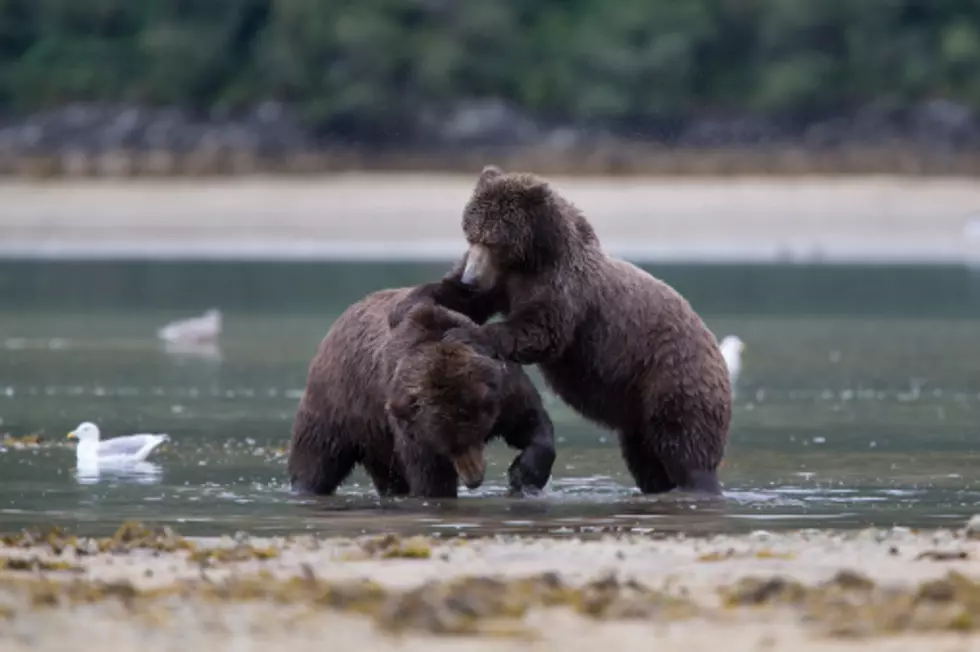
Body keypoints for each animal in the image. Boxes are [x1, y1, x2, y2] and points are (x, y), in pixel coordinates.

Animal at [288, 286, 556, 499]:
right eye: (447, 448)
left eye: (474, 434)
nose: (473, 479)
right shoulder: (411, 427)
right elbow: (430, 476)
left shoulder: (504, 392)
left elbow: (530, 421)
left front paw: (523, 473)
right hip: (339, 404)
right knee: (317, 455)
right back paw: (304, 487)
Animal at [388, 165, 732, 495]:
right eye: (470, 235)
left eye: (491, 240)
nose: (470, 279)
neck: (529, 259)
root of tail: (717, 354)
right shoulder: (499, 280)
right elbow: (458, 299)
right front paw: (404, 307)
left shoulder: (562, 285)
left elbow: (541, 329)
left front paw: (466, 335)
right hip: (639, 414)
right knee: (646, 460)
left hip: (672, 382)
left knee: (684, 447)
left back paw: (695, 484)